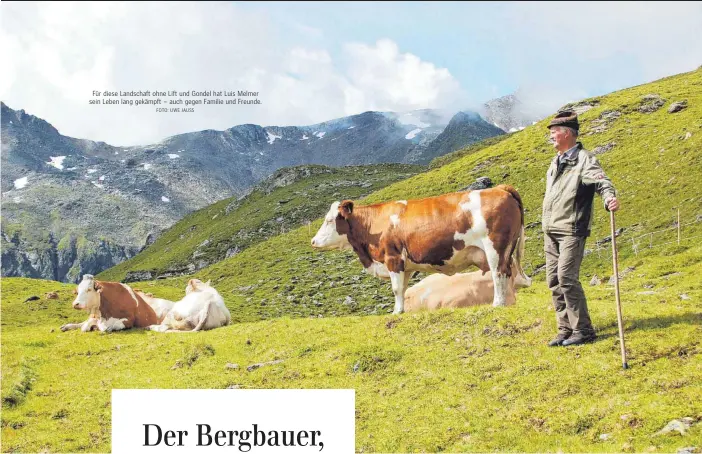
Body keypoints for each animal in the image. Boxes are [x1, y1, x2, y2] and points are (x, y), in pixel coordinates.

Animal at [310, 184, 532, 312]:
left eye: (329, 220)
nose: (313, 241)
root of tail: (500, 188)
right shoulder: (405, 265)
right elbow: (402, 289)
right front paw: (401, 311)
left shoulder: (392, 258)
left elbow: (395, 288)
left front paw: (395, 313)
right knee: (507, 272)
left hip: (495, 247)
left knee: (498, 272)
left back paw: (498, 303)